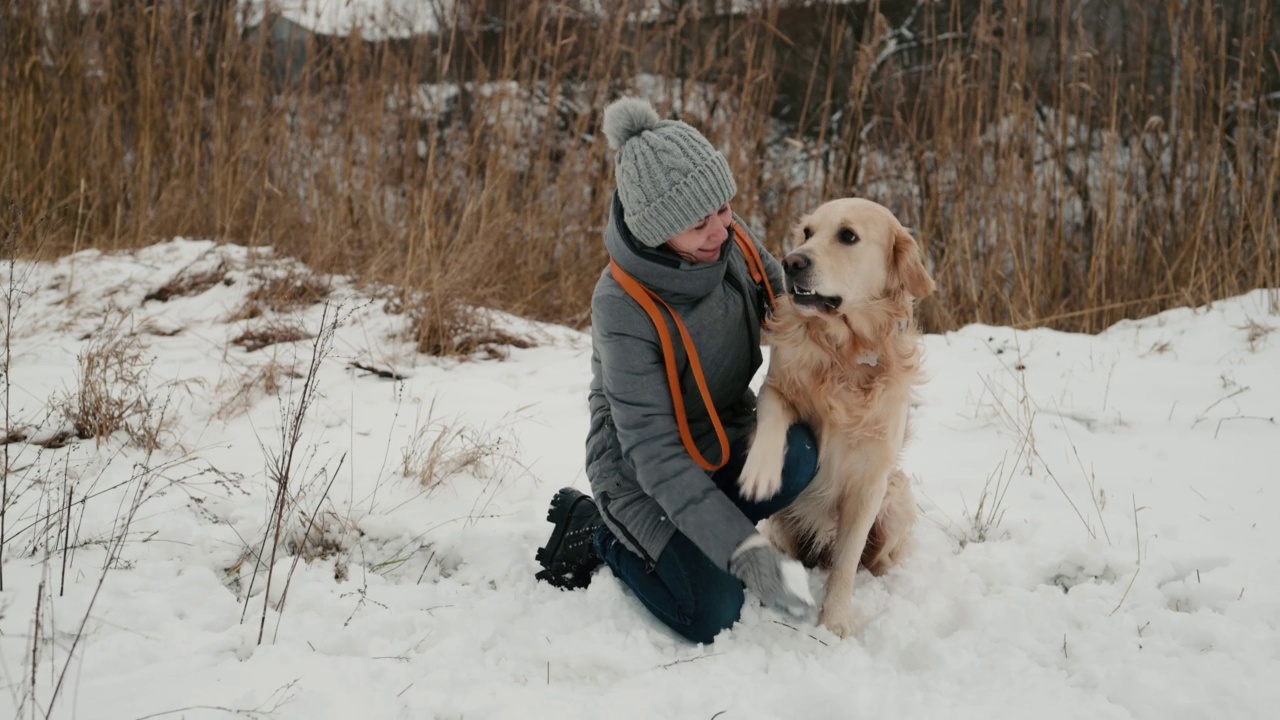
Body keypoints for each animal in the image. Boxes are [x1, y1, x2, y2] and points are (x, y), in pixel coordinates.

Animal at [737, 194, 936, 632]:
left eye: (848, 236)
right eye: (808, 233)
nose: (792, 261)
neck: (846, 352)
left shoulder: (871, 476)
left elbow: (847, 561)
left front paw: (835, 623)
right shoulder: (777, 387)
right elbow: (774, 416)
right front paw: (760, 472)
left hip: (896, 498)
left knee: (872, 559)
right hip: (784, 523)